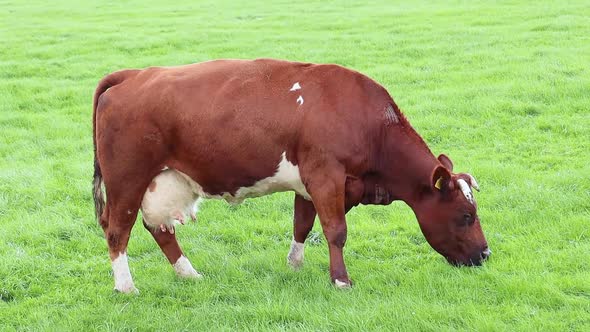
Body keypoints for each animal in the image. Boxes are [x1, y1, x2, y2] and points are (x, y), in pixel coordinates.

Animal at [92, 59, 490, 294]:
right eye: (465, 215)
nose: (485, 254)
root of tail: (133, 75)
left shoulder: (310, 184)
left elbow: (303, 224)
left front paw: (295, 266)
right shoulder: (326, 176)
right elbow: (336, 231)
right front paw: (341, 280)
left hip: (164, 181)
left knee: (159, 229)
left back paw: (188, 274)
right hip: (127, 179)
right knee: (117, 231)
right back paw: (126, 287)